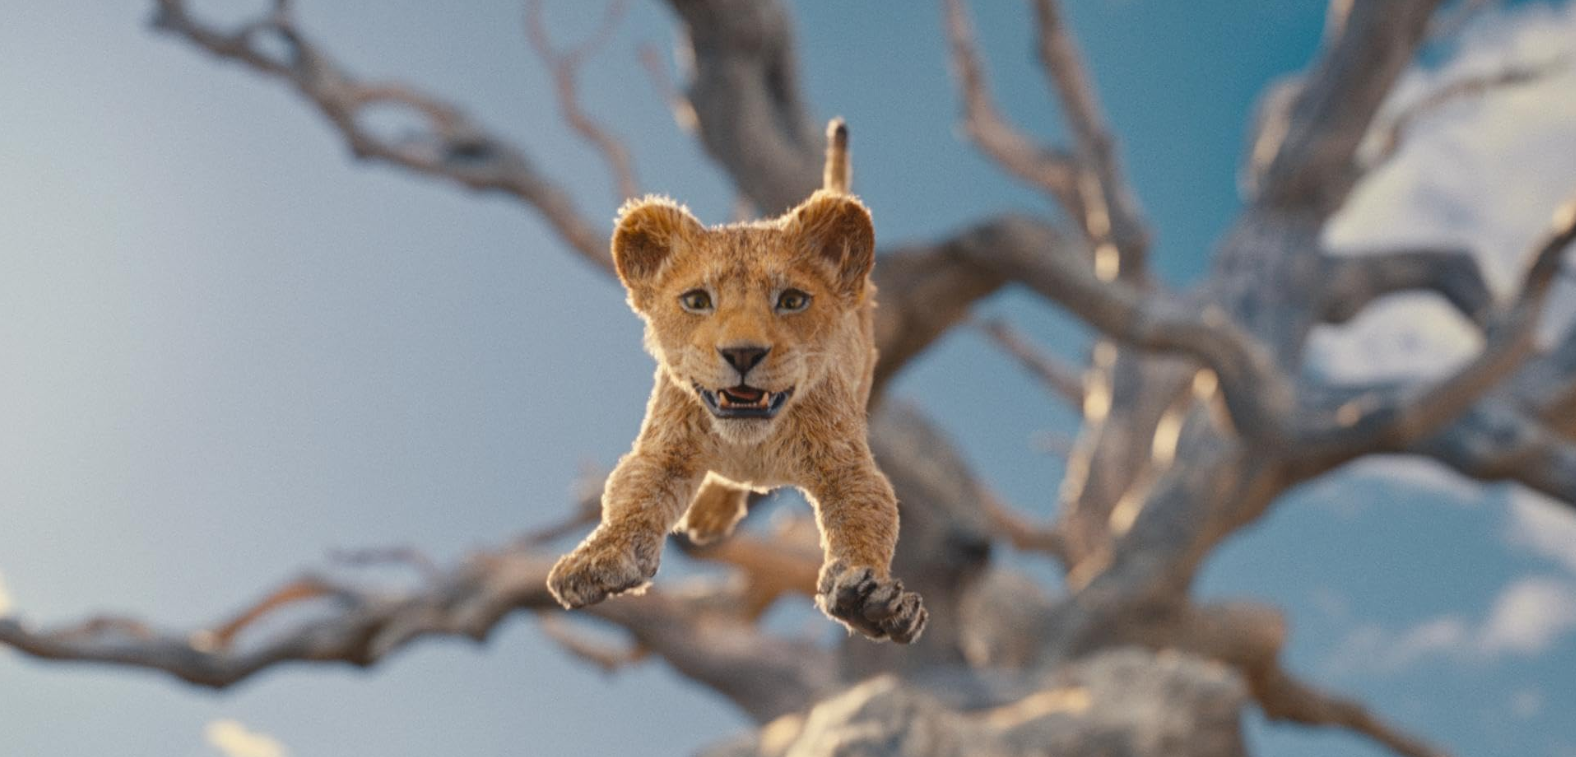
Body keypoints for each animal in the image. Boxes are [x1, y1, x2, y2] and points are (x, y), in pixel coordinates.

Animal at [546, 119, 927, 643]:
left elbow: (867, 517)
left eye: (792, 300)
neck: (751, 442)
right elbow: (631, 497)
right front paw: (597, 558)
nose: (743, 353)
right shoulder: (664, 448)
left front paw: (870, 599)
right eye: (696, 301)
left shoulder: (846, 465)